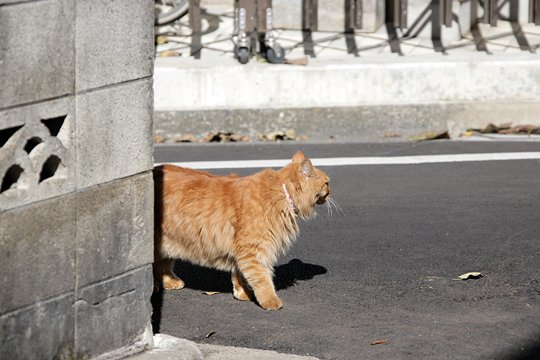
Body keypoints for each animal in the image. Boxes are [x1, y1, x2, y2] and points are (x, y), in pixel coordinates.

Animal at [152, 150, 330, 310]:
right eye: (327, 183)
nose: (330, 191)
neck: (280, 194)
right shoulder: (253, 252)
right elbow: (262, 280)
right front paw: (270, 301)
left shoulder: (243, 253)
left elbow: (240, 275)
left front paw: (242, 293)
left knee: (163, 266)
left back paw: (170, 282)